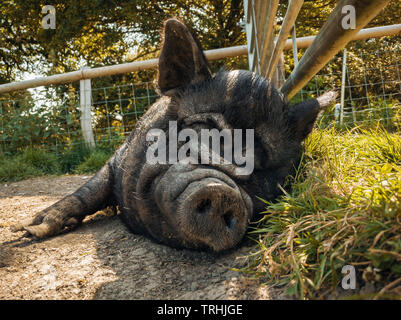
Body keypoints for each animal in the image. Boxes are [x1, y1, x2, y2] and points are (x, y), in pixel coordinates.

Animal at [12, 18, 336, 252]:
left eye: (264, 168)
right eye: (203, 130)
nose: (223, 192)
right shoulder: (116, 159)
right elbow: (89, 190)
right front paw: (28, 230)